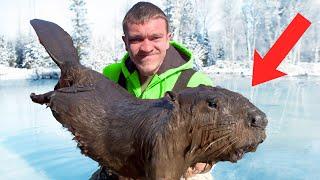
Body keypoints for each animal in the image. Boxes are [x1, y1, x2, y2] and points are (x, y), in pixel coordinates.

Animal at [30, 19, 268, 179]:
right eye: (212, 103)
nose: (261, 119)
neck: (168, 121)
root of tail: (72, 64)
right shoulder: (162, 148)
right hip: (69, 96)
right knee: (54, 94)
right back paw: (36, 95)